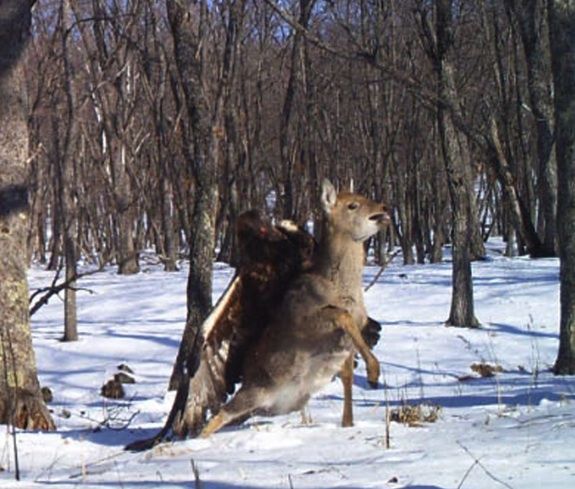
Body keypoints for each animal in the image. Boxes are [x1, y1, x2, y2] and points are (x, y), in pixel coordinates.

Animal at [199, 178, 392, 434]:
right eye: (352, 205)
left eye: (363, 196)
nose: (384, 207)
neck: (343, 289)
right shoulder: (304, 321)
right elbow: (341, 315)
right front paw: (373, 373)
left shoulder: (352, 336)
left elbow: (348, 376)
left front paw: (349, 422)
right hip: (255, 391)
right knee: (219, 415)